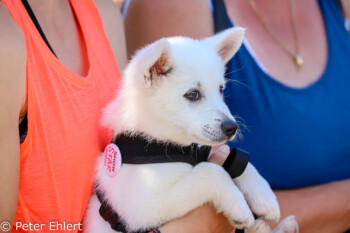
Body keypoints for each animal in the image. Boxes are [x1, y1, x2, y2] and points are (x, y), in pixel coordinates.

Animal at [83, 27, 296, 233]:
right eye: (193, 94)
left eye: (220, 89)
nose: (232, 128)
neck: (163, 145)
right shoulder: (139, 207)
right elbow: (210, 171)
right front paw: (240, 207)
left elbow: (240, 162)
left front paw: (264, 196)